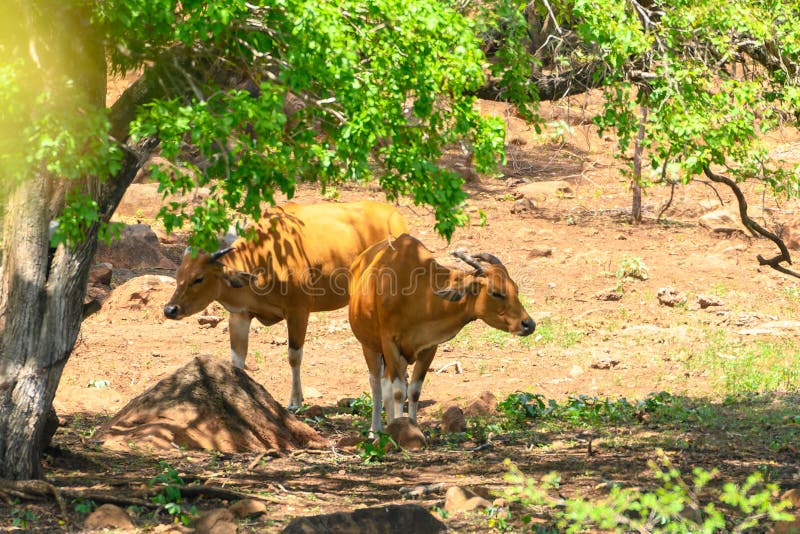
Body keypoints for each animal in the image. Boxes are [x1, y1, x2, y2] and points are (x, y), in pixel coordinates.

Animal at [166, 203, 410, 408]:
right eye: (178, 274)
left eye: (199, 278)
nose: (170, 309)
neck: (264, 260)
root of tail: (396, 216)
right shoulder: (240, 315)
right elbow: (237, 360)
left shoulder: (298, 311)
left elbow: (294, 356)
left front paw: (295, 401)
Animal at [346, 234, 536, 436]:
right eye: (496, 293)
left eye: (516, 289)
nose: (528, 324)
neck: (418, 293)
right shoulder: (389, 343)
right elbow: (398, 391)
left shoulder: (429, 347)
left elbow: (413, 391)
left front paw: (412, 428)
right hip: (369, 345)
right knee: (376, 383)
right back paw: (376, 430)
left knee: (386, 384)